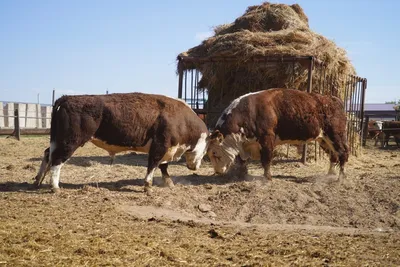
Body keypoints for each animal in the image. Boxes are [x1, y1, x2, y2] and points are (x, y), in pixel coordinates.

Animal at [34, 93, 209, 194]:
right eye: (205, 151)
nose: (197, 166)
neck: (180, 118)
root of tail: (66, 98)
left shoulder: (166, 149)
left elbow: (163, 167)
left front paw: (169, 183)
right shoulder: (159, 147)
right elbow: (153, 165)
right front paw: (148, 186)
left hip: (58, 140)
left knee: (48, 154)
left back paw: (37, 180)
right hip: (70, 141)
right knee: (57, 160)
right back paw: (55, 187)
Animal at [208, 89, 348, 183]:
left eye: (215, 153)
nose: (217, 171)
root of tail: (332, 99)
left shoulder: (267, 139)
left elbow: (266, 160)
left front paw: (267, 178)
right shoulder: (245, 144)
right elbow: (242, 162)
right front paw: (241, 176)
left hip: (336, 136)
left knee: (343, 153)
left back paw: (340, 178)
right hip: (324, 139)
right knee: (333, 155)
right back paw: (330, 174)